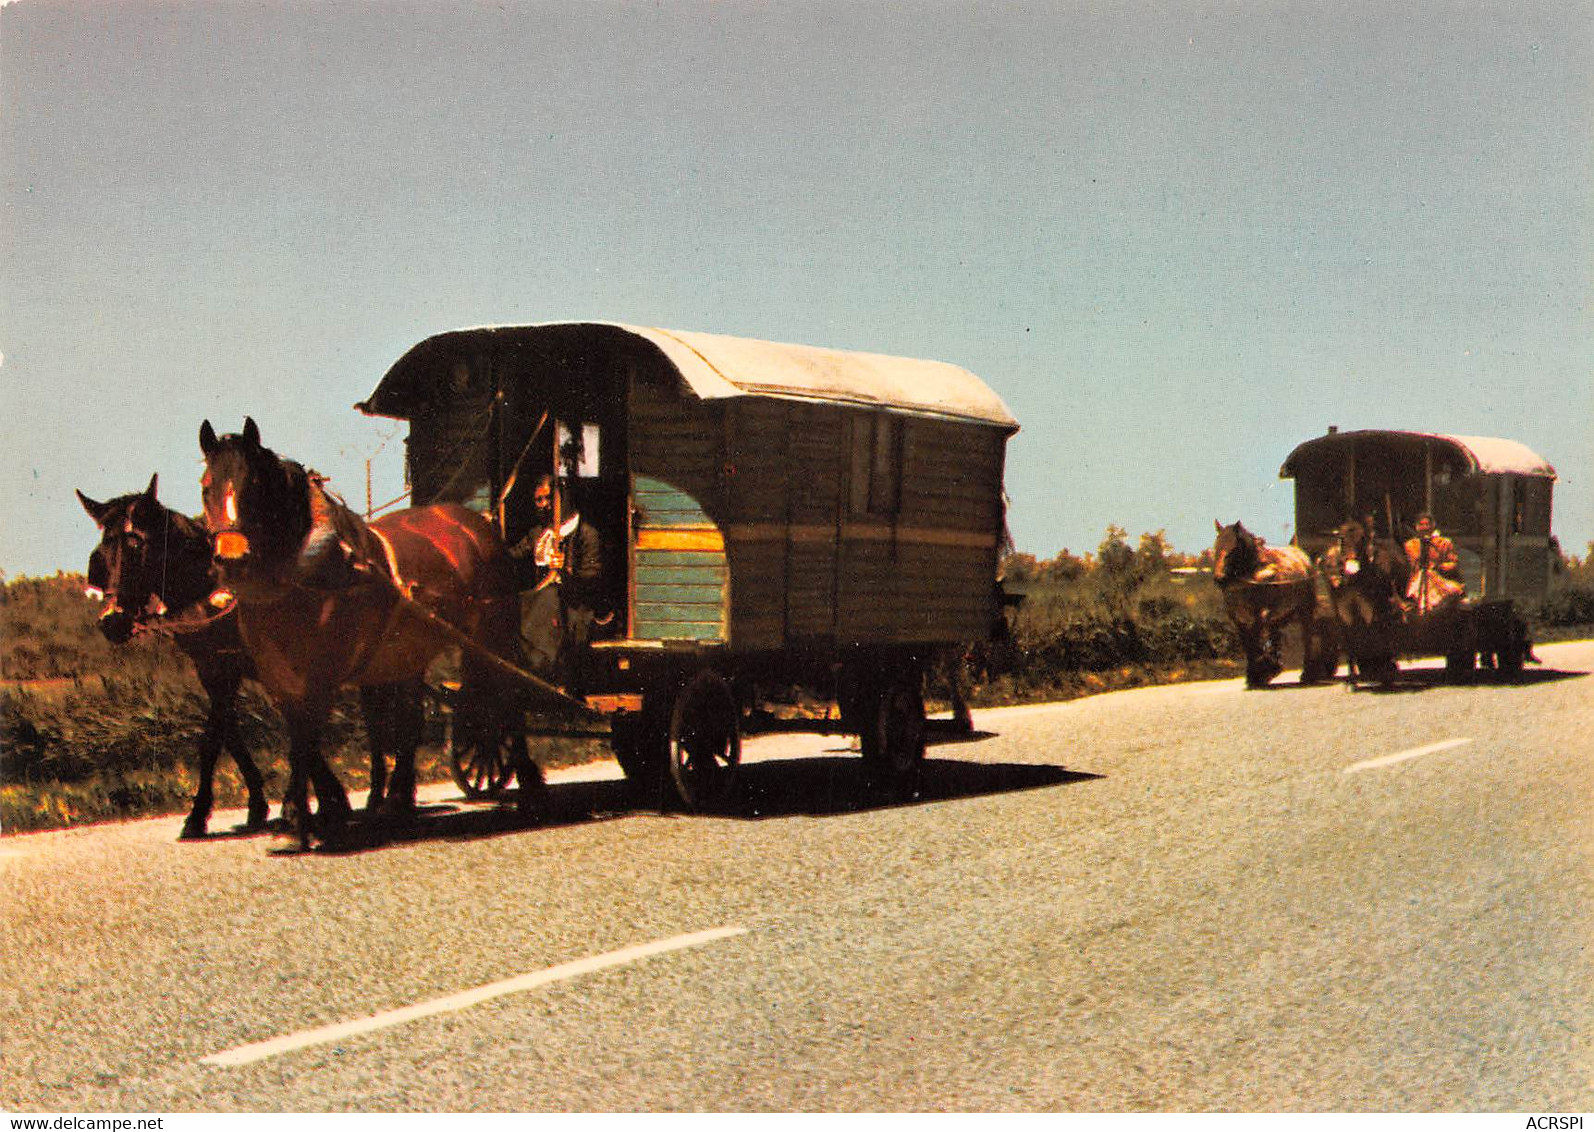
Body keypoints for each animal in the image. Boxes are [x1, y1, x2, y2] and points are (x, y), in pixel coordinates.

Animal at [74, 475, 270, 835]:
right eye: (99, 555)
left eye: (138, 546)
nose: (112, 621)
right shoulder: (211, 668)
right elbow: (229, 736)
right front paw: (255, 805)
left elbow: (212, 739)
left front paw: (197, 815)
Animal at [196, 417, 535, 854]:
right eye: (207, 485)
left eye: (254, 484)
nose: (232, 558)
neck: (306, 575)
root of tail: (477, 524)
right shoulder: (279, 682)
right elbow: (299, 742)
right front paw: (299, 819)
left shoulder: (319, 679)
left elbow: (305, 744)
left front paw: (302, 822)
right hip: (410, 653)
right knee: (411, 722)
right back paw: (398, 804)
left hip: (496, 636)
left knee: (510, 698)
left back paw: (529, 788)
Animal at [1211, 519, 1338, 688]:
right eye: (1216, 547)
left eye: (1233, 549)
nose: (1219, 578)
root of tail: (1299, 553)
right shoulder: (1238, 617)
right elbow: (1248, 642)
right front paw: (1258, 673)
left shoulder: (1262, 613)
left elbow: (1255, 637)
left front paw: (1264, 669)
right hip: (1281, 614)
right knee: (1276, 634)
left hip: (1305, 609)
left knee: (1308, 637)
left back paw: (1307, 673)